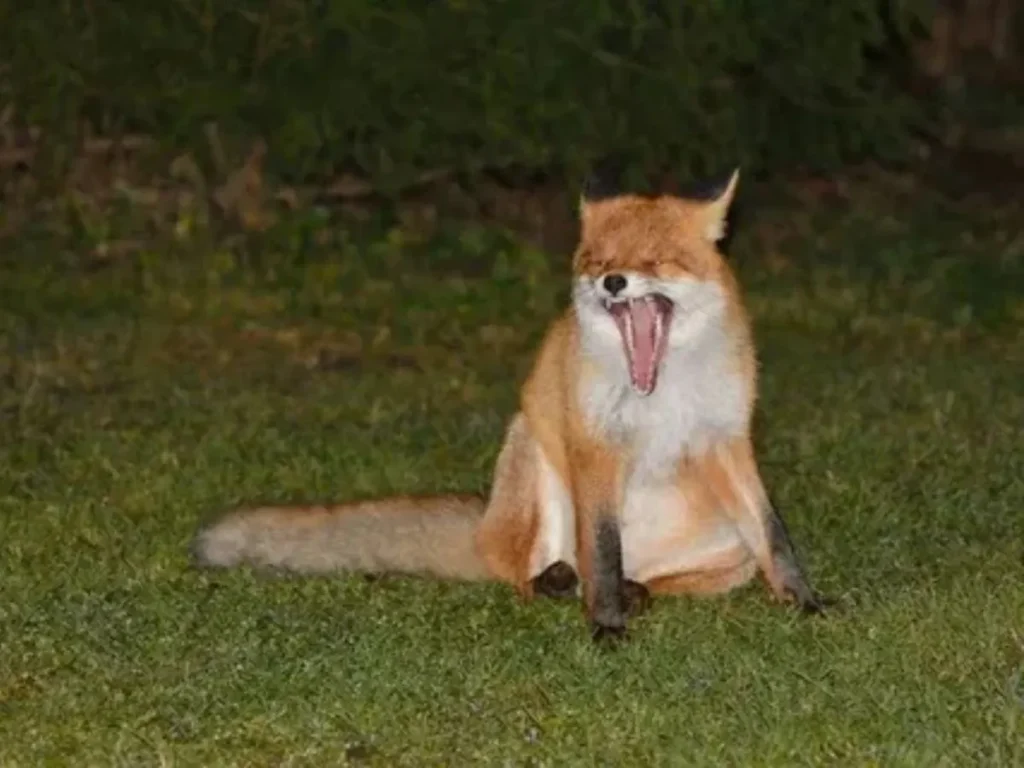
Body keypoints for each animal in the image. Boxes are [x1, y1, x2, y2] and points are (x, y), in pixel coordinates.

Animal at [191, 168, 826, 640]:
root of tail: (483, 527)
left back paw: (638, 589)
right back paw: (559, 583)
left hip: (729, 550)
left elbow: (775, 537)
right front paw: (606, 626)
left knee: (649, 575)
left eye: (655, 261)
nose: (612, 283)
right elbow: (602, 550)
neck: (660, 392)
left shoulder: (726, 438)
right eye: (598, 261)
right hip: (533, 456)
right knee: (535, 572)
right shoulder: (594, 443)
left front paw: (807, 603)